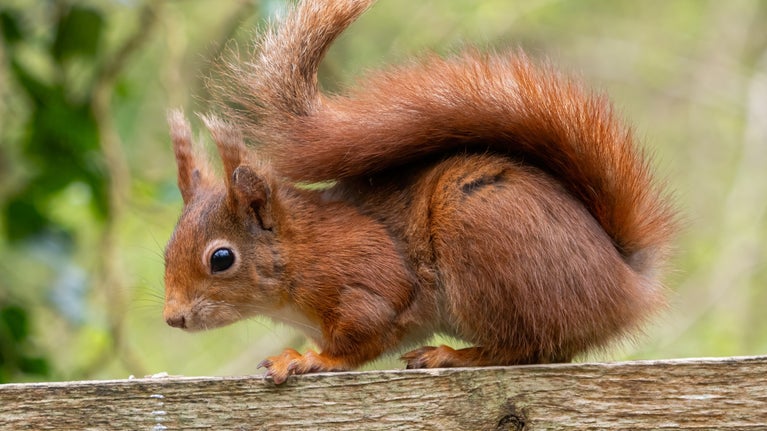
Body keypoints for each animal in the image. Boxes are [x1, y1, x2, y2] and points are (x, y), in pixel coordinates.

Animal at [162, 0, 676, 385]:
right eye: (167, 251)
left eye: (221, 258)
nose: (173, 318)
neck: (300, 251)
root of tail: (625, 283)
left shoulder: (367, 280)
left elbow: (362, 336)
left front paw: (308, 359)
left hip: (486, 250)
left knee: (527, 349)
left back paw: (452, 355)